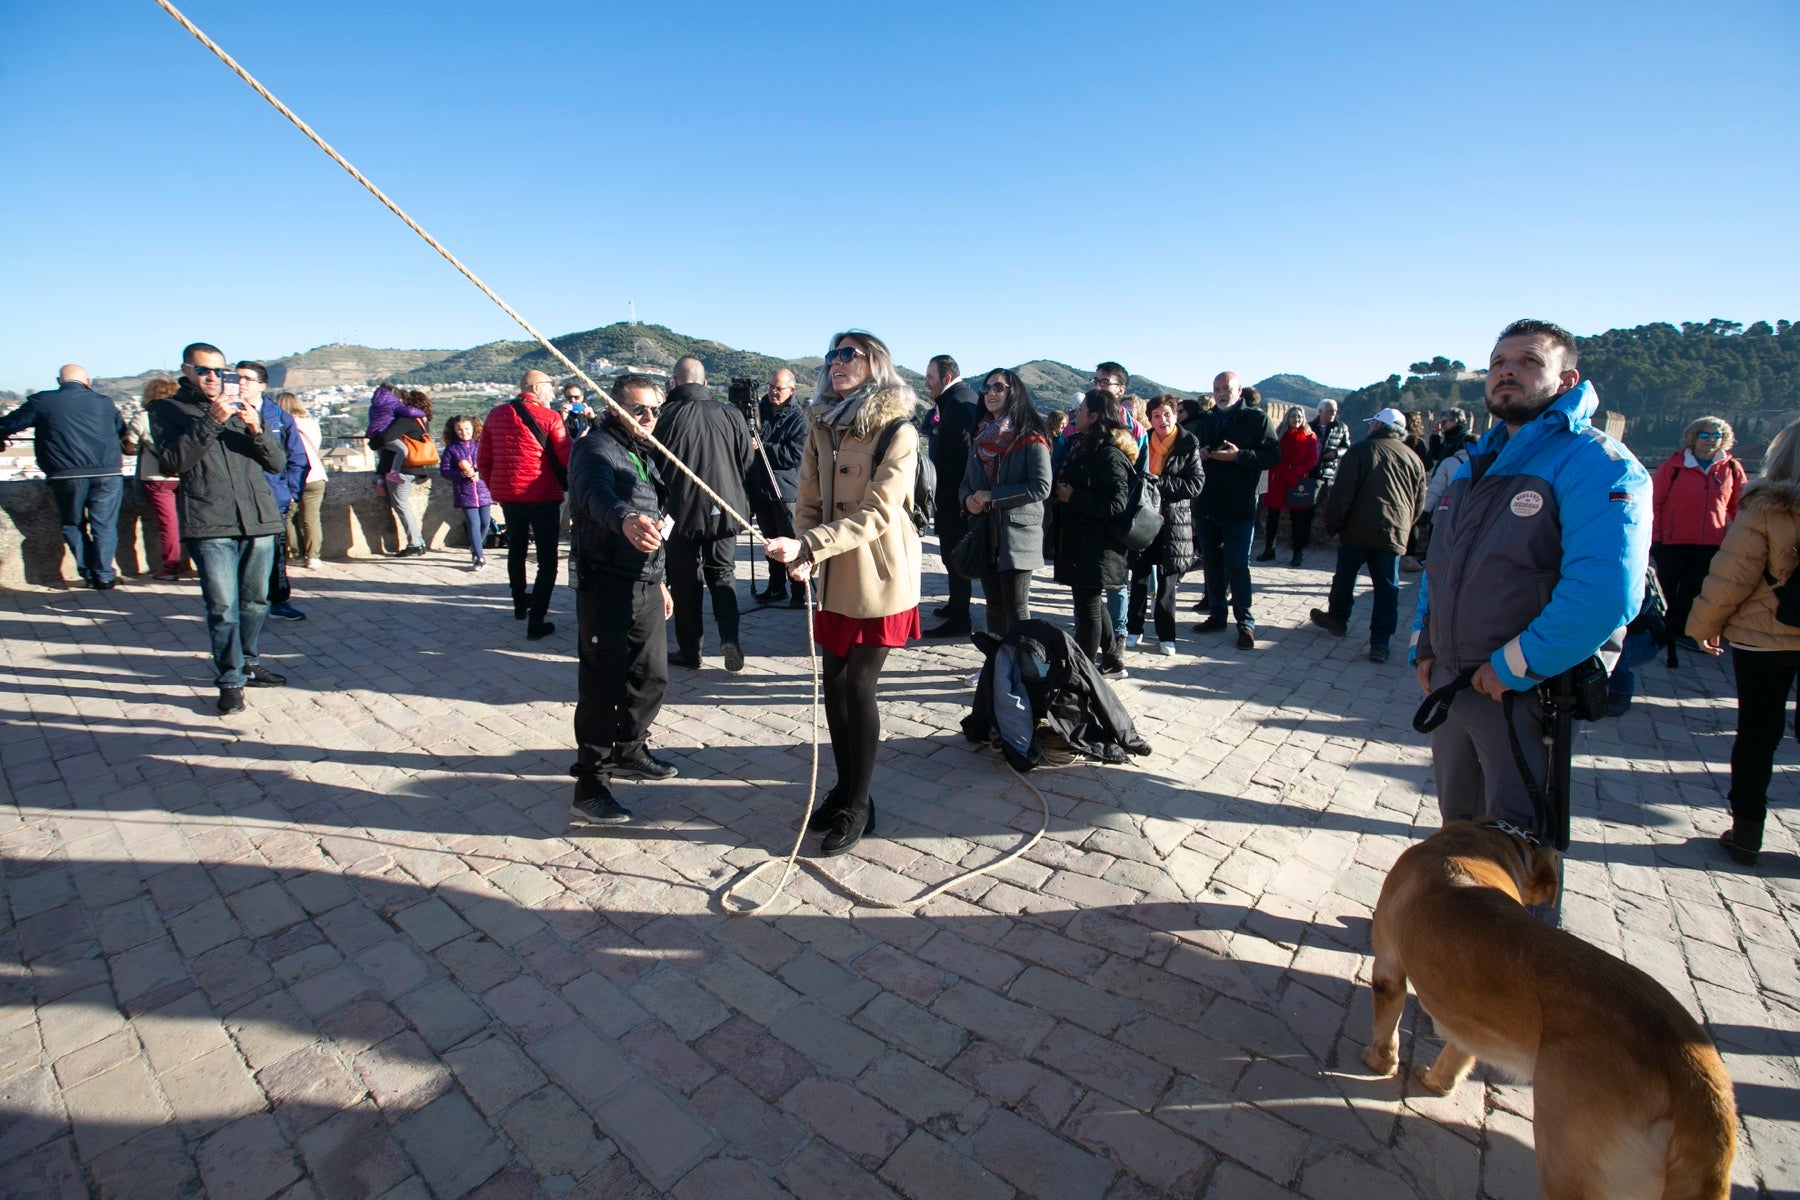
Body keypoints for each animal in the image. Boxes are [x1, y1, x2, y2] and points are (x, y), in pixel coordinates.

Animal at [1368, 827, 1735, 1200]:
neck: (1479, 843)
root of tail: (1699, 1093)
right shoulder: (1473, 1025)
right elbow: (1458, 1054)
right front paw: (1436, 1082)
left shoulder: (1388, 968)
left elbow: (1388, 1024)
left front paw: (1379, 1062)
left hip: (1567, 1155)